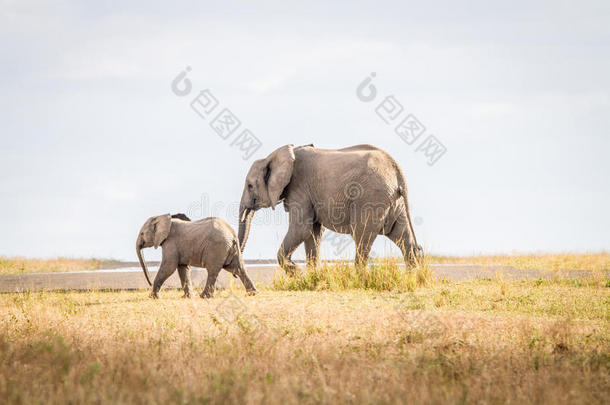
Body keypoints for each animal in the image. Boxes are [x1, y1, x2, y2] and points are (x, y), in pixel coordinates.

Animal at [235, 144, 420, 274]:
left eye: (250, 186)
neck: (273, 156)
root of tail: (396, 170)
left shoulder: (299, 187)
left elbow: (301, 229)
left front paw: (297, 273)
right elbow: (313, 232)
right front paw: (311, 275)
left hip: (371, 198)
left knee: (362, 237)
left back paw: (360, 278)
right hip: (394, 201)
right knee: (403, 237)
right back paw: (414, 278)